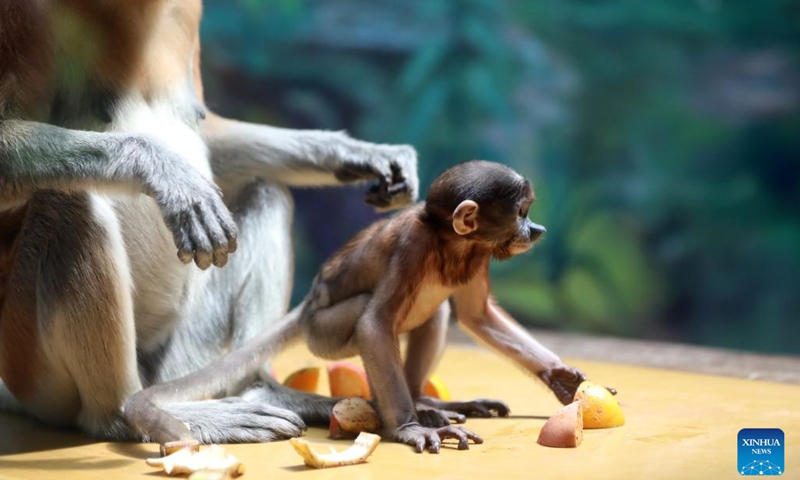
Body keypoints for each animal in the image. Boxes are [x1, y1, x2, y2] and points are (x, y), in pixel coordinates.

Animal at [0, 0, 418, 444]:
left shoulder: (186, 13)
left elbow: (209, 134)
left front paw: (358, 153)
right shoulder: (23, 17)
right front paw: (171, 177)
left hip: (185, 356)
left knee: (267, 193)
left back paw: (260, 388)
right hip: (31, 366)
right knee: (69, 202)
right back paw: (133, 415)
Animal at [122, 160, 593, 453]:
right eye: (521, 213)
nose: (536, 229)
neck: (451, 244)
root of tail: (310, 302)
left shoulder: (478, 254)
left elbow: (477, 316)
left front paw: (561, 377)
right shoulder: (412, 247)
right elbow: (374, 324)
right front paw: (410, 429)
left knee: (436, 310)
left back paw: (424, 398)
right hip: (323, 330)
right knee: (377, 311)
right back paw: (421, 408)